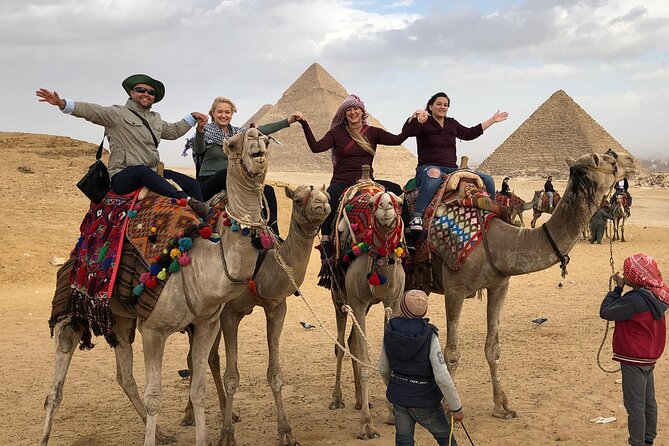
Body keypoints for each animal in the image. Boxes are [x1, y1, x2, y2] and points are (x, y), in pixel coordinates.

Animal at [41, 127, 272, 446]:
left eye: (263, 138)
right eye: (232, 144)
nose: (256, 136)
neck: (201, 264)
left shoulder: (206, 324)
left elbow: (198, 391)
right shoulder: (152, 329)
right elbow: (155, 398)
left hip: (120, 318)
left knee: (124, 376)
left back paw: (162, 433)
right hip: (69, 311)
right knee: (56, 388)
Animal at [181, 184, 330, 446]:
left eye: (327, 195)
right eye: (299, 199)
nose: (322, 205)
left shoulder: (277, 308)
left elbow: (275, 374)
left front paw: (286, 432)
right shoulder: (230, 313)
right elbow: (232, 376)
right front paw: (226, 435)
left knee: (208, 358)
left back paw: (225, 410)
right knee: (195, 358)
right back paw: (191, 414)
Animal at [328, 179, 405, 440]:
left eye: (398, 202)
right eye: (372, 204)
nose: (385, 207)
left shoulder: (393, 302)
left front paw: (392, 415)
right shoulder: (358, 303)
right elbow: (363, 362)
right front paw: (366, 426)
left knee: (351, 341)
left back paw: (363, 401)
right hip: (340, 297)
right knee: (341, 344)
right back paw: (338, 399)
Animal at [413, 151, 635, 420]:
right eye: (608, 161)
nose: (631, 160)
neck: (495, 243)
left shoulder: (499, 286)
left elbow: (492, 348)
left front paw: (502, 406)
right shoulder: (455, 290)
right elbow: (452, 353)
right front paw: (450, 409)